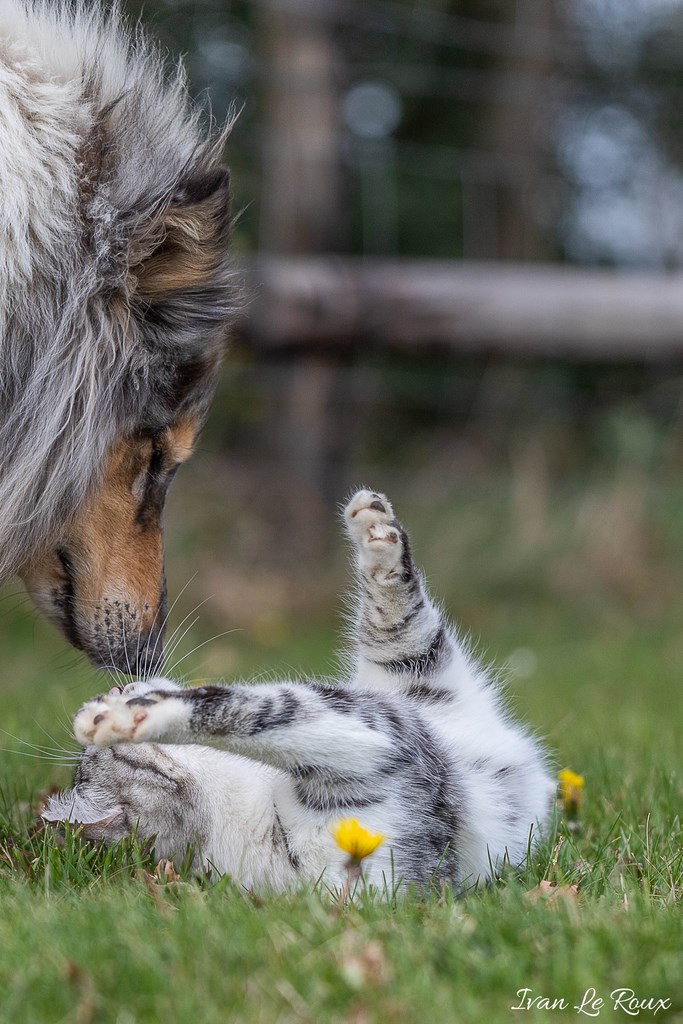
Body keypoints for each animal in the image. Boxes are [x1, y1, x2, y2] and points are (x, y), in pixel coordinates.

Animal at [44, 491, 557, 892]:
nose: (122, 682)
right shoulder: (375, 754)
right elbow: (264, 711)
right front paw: (123, 715)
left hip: (406, 665)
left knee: (397, 611)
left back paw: (373, 526)